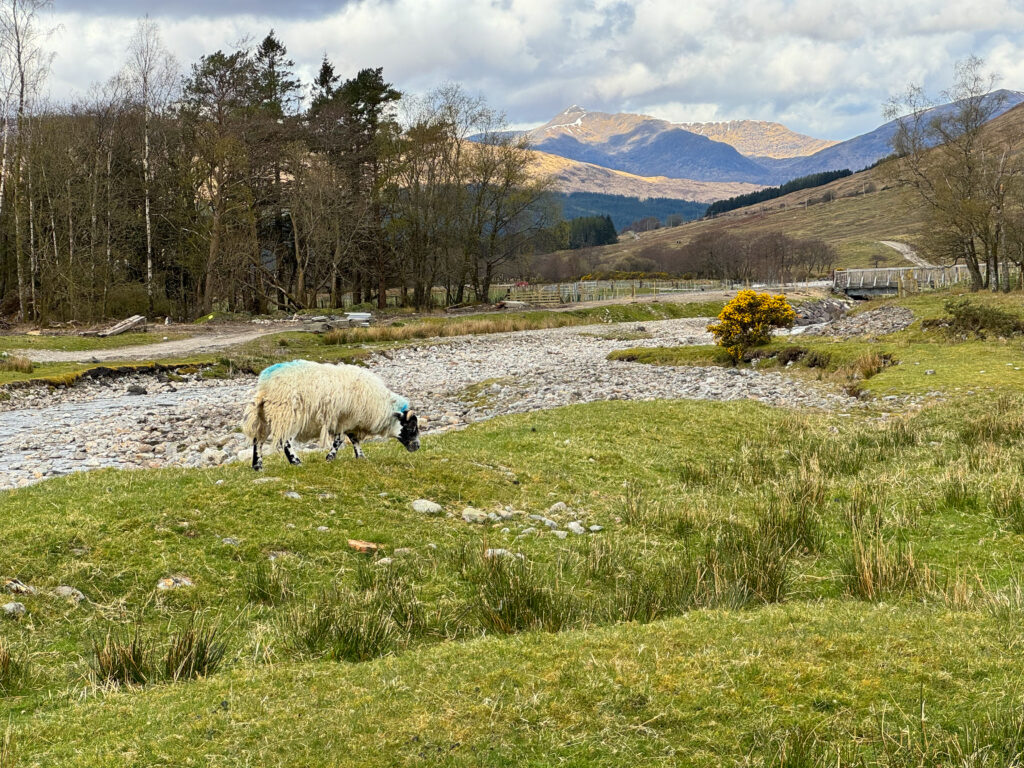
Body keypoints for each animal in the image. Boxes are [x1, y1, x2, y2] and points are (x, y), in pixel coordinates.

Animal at [239, 360, 419, 468]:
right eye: (411, 426)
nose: (417, 447)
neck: (380, 406)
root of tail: (265, 385)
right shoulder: (343, 420)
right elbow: (339, 441)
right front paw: (330, 457)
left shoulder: (350, 421)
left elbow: (353, 439)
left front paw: (361, 456)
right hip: (289, 415)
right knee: (285, 441)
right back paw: (296, 461)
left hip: (267, 417)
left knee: (258, 440)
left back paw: (258, 465)